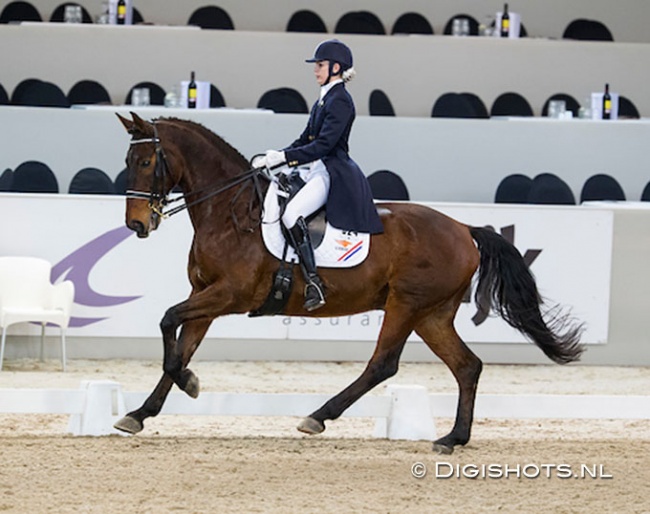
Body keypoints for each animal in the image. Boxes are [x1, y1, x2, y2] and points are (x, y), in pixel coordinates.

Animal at [112, 113, 584, 452]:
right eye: (127, 162)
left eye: (147, 162)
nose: (137, 224)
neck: (229, 212)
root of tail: (464, 229)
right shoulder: (205, 295)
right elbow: (180, 343)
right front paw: (141, 412)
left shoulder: (230, 295)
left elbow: (167, 322)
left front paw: (188, 383)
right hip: (432, 314)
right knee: (467, 366)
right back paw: (453, 438)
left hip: (406, 305)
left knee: (383, 364)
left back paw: (318, 417)